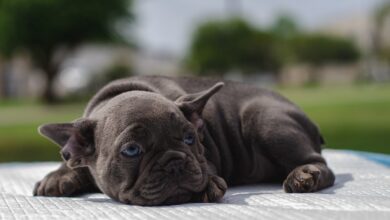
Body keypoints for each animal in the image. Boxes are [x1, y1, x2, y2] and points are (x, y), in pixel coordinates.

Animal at [32, 75, 336, 206]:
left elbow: (207, 166)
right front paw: (58, 176)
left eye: (191, 137)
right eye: (131, 150)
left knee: (320, 164)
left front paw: (209, 183)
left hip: (264, 120)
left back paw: (304, 175)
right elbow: (72, 164)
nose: (175, 163)